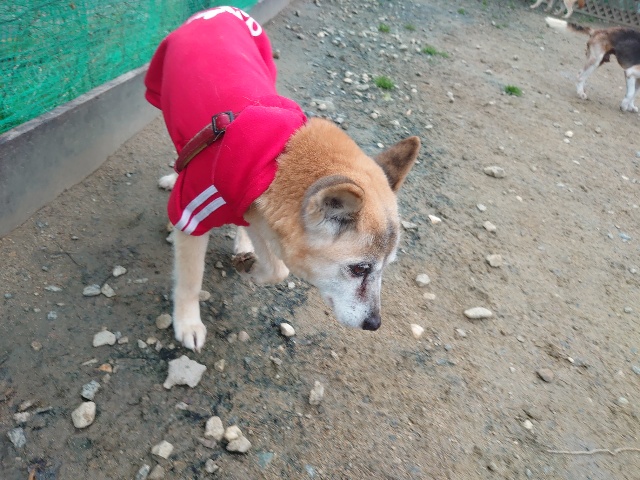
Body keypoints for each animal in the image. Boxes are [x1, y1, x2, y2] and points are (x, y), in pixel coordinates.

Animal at [144, 6, 421, 351]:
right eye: (359, 268)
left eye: (386, 266)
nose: (374, 324)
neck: (272, 163)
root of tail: (218, 9)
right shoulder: (196, 213)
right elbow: (190, 281)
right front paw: (187, 323)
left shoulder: (257, 212)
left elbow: (278, 268)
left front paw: (251, 267)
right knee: (179, 147)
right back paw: (174, 178)